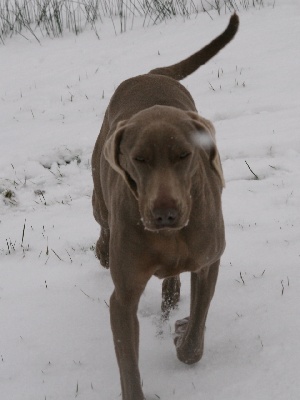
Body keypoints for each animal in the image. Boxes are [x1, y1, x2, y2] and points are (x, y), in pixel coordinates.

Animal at [91, 13, 239, 400]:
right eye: (139, 158)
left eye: (184, 155)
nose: (164, 215)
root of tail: (151, 73)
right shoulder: (123, 297)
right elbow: (128, 363)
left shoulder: (208, 260)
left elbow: (195, 334)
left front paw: (182, 330)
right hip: (99, 189)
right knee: (103, 222)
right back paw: (103, 250)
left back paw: (171, 296)